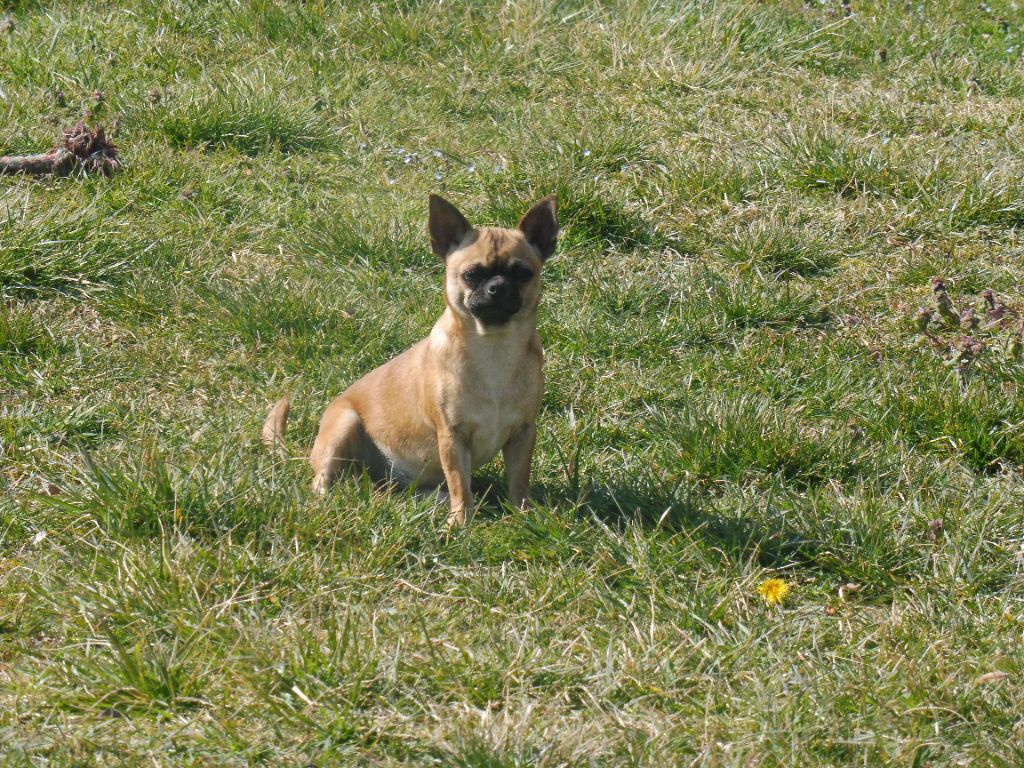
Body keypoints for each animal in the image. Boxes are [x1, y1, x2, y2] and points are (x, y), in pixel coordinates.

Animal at [260, 195, 557, 528]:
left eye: (523, 273)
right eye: (471, 274)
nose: (498, 287)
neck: (493, 347)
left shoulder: (523, 434)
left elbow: (518, 481)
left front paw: (524, 514)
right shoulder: (451, 438)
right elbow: (460, 482)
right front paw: (461, 522)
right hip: (343, 425)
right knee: (322, 478)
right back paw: (328, 498)